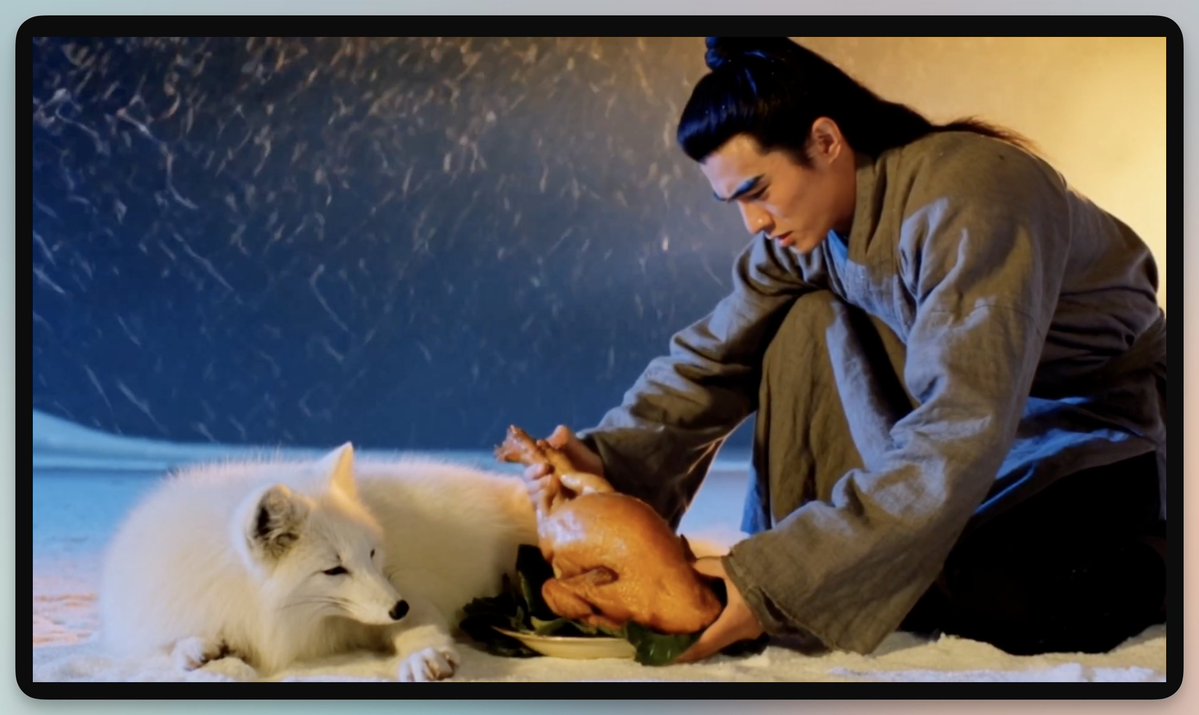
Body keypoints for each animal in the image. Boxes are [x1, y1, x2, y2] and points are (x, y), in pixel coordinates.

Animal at [99, 443, 538, 681]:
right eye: (334, 569)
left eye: (372, 553)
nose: (399, 607)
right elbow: (170, 641)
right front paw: (196, 650)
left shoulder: (405, 590)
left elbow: (420, 627)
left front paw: (424, 656)